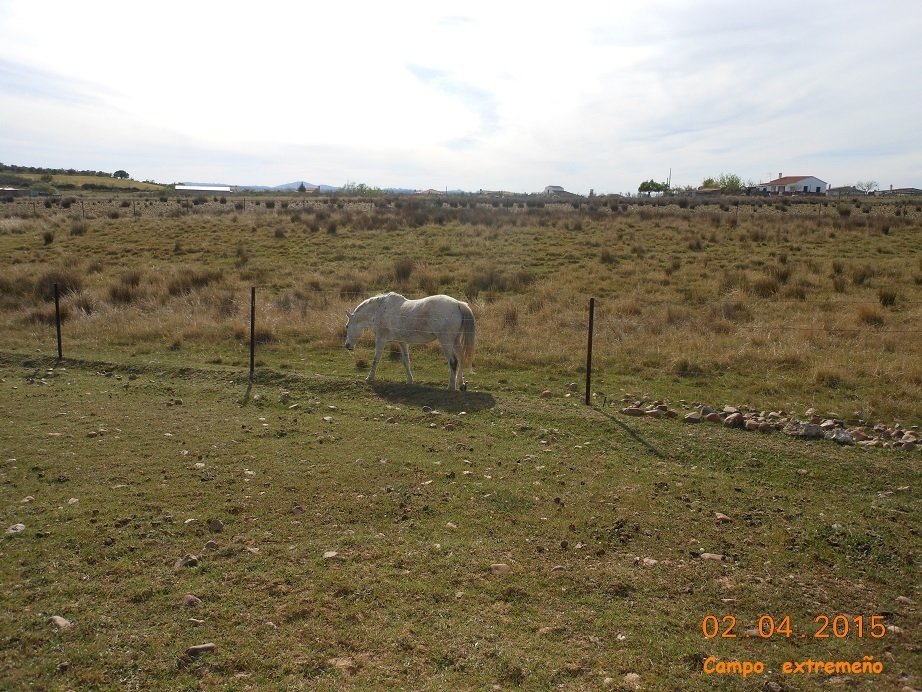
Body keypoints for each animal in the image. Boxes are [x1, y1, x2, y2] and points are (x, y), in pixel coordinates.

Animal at [344, 292, 474, 390]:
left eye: (347, 326)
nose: (347, 345)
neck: (379, 310)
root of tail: (458, 304)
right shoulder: (402, 342)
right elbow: (406, 361)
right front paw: (409, 381)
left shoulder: (381, 339)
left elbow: (376, 359)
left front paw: (369, 378)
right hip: (455, 341)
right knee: (461, 358)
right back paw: (461, 384)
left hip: (446, 342)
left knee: (453, 361)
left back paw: (451, 387)